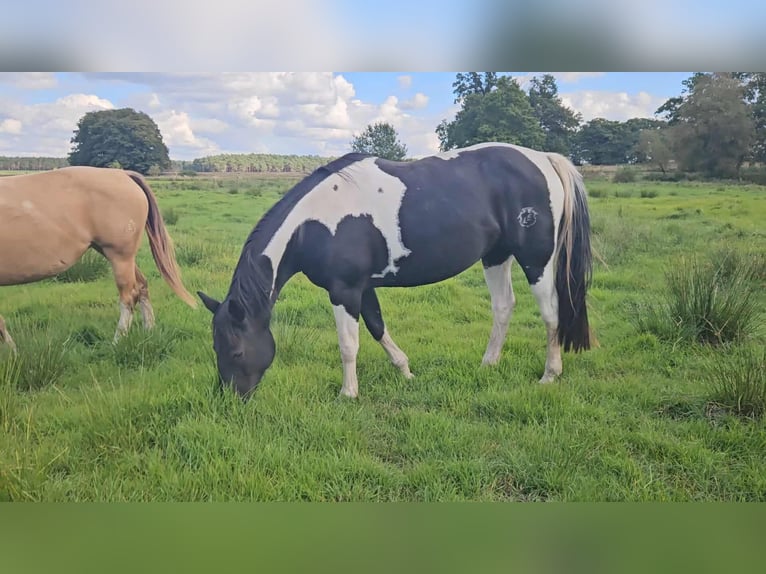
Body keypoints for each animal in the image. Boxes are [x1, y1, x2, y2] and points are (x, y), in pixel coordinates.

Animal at [0, 166, 197, 350]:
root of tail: (123, 174)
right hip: (120, 256)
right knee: (142, 286)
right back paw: (149, 330)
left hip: (120, 257)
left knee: (129, 296)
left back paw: (118, 341)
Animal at [197, 142, 595, 400]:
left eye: (235, 352)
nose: (231, 398)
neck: (314, 223)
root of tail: (544, 159)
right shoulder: (361, 288)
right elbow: (377, 327)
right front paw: (405, 371)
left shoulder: (343, 291)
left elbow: (349, 344)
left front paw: (348, 393)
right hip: (496, 256)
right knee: (503, 307)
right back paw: (488, 364)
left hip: (536, 260)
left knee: (551, 313)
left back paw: (549, 375)